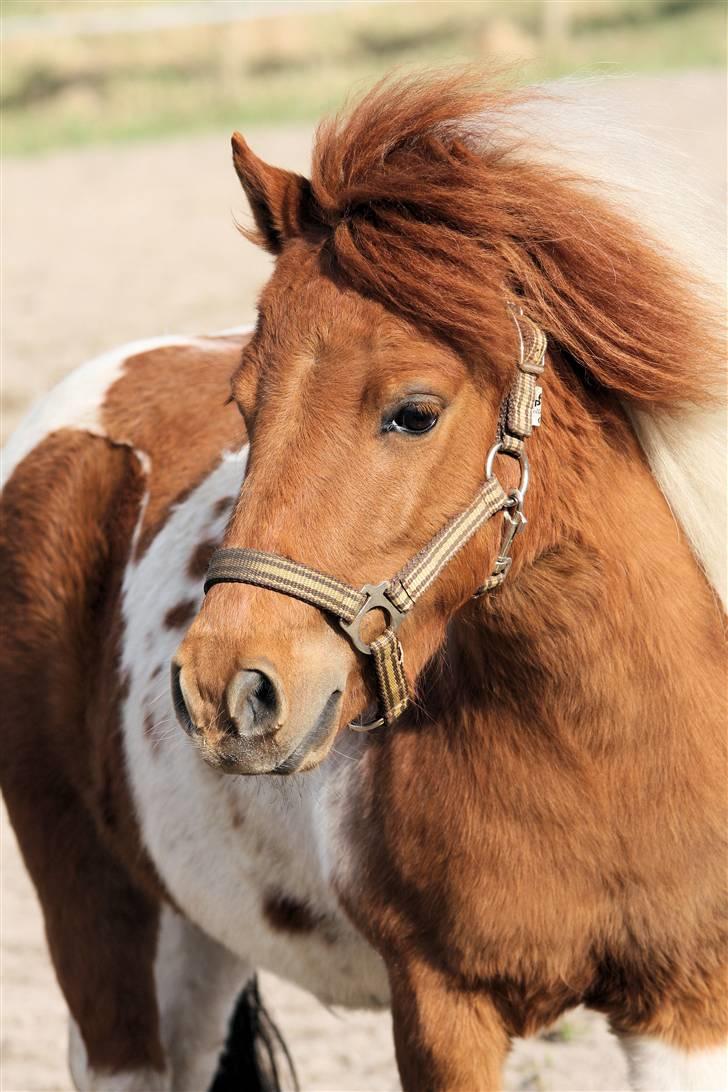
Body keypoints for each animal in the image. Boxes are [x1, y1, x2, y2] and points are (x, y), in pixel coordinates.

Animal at [1, 72, 728, 1087]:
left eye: (414, 412)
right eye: (245, 406)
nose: (228, 692)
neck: (606, 746)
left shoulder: (688, 1005)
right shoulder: (441, 1010)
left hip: (197, 932)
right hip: (89, 906)